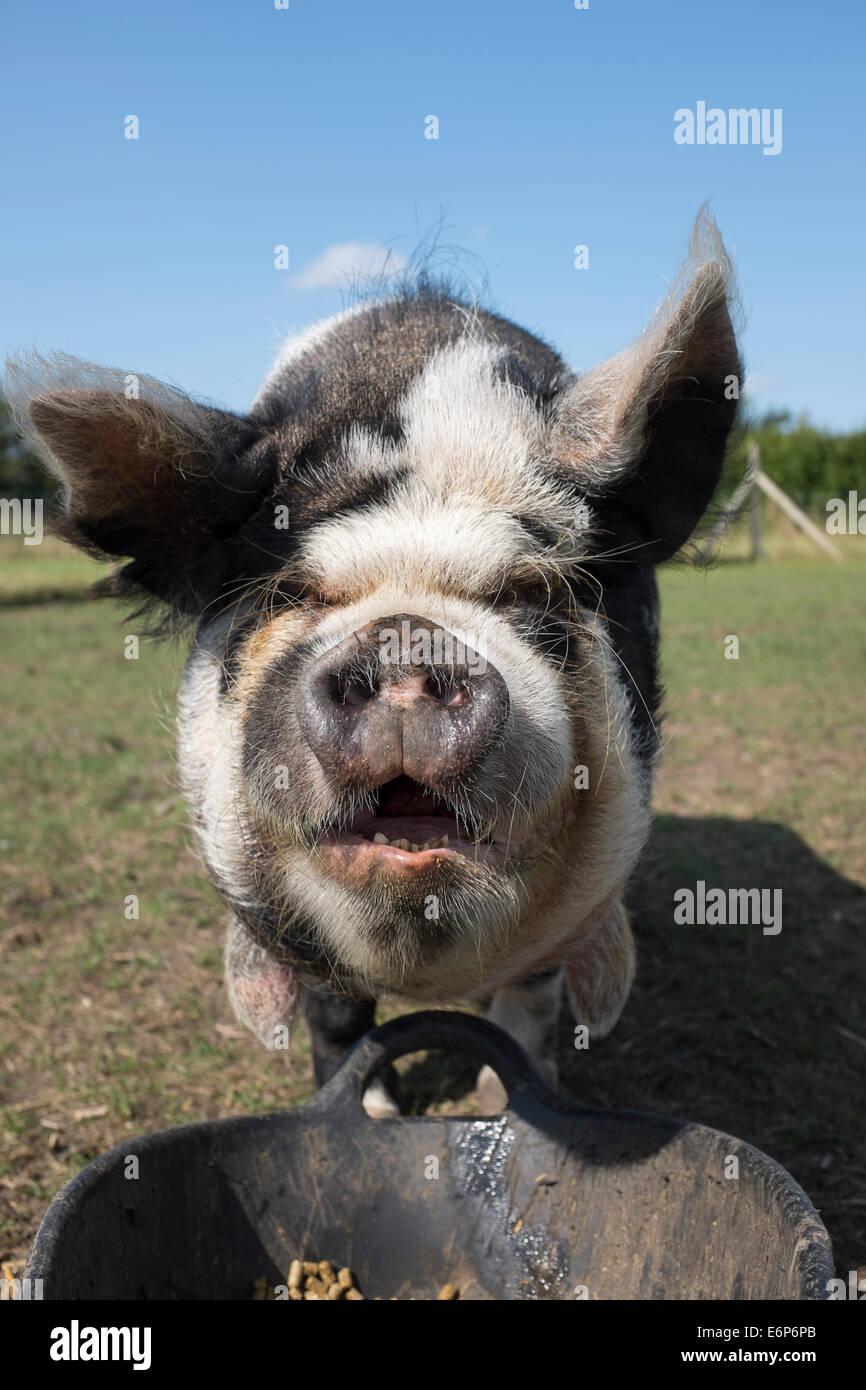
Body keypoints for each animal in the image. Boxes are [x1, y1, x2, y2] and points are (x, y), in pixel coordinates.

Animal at [6, 208, 739, 1117]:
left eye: (531, 589)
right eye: (295, 592)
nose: (404, 639)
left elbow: (530, 1008)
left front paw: (500, 1107)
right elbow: (336, 1017)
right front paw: (379, 1115)